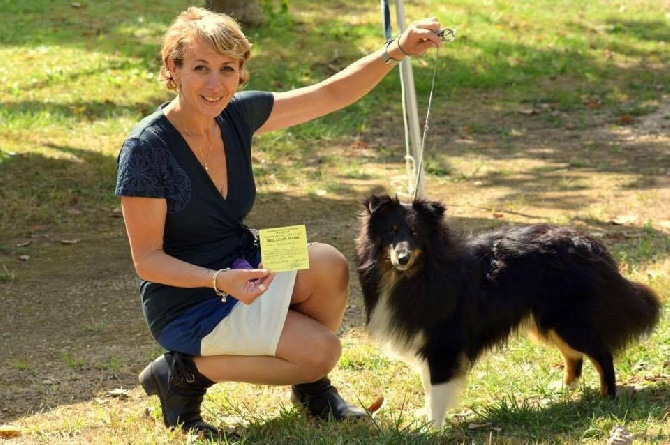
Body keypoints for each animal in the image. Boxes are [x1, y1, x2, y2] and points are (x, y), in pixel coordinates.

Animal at [356, 193, 660, 428]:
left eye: (416, 233)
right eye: (391, 232)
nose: (402, 258)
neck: (418, 274)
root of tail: (592, 245)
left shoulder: (444, 343)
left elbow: (438, 388)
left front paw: (432, 428)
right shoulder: (425, 340)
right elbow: (428, 383)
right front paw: (424, 416)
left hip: (567, 321)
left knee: (601, 353)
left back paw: (607, 397)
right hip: (547, 322)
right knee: (574, 356)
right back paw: (562, 389)